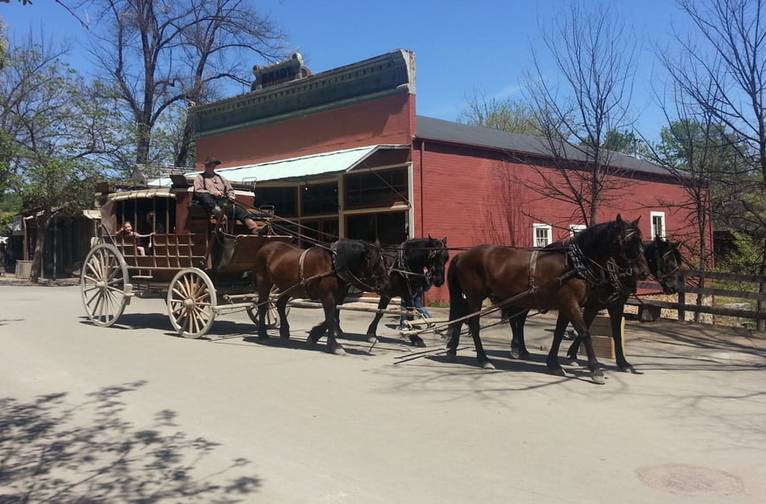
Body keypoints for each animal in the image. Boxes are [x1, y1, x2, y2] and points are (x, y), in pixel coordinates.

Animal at [254, 239, 388, 354]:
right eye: (375, 262)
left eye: (382, 260)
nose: (385, 284)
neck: (334, 263)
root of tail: (265, 247)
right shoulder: (327, 296)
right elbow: (331, 319)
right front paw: (334, 346)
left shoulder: (337, 297)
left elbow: (332, 317)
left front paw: (314, 336)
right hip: (264, 281)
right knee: (262, 305)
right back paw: (263, 334)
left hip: (289, 287)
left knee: (280, 304)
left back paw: (284, 331)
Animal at [448, 215, 652, 384]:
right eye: (625, 241)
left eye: (641, 242)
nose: (643, 272)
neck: (574, 265)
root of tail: (462, 255)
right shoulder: (572, 303)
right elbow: (585, 332)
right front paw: (595, 369)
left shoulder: (568, 304)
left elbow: (560, 333)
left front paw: (554, 363)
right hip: (476, 297)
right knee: (474, 324)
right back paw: (484, 359)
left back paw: (454, 348)